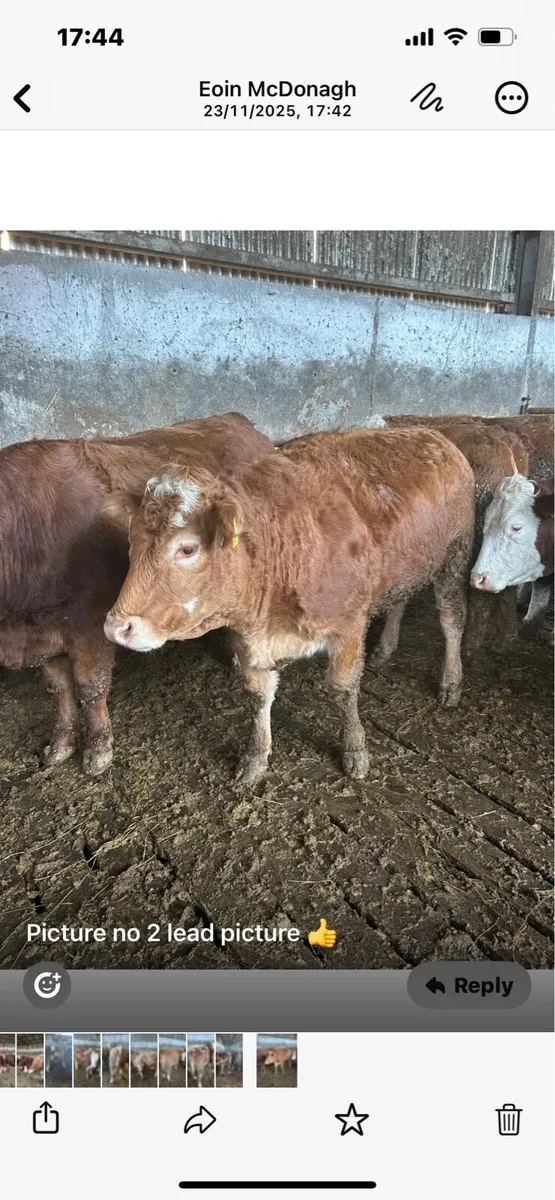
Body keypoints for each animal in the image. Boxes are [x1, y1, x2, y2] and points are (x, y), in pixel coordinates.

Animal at [0, 413, 273, 775]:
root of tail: (238, 420)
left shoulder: (89, 624)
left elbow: (90, 688)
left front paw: (98, 750)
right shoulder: (42, 639)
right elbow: (58, 690)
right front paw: (61, 744)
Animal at [104, 427, 475, 785]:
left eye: (187, 549)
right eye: (132, 541)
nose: (117, 627)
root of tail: (431, 433)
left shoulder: (348, 624)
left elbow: (343, 689)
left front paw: (355, 750)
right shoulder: (247, 636)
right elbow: (258, 696)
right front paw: (255, 759)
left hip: (454, 557)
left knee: (452, 620)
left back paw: (451, 682)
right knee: (400, 599)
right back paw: (385, 648)